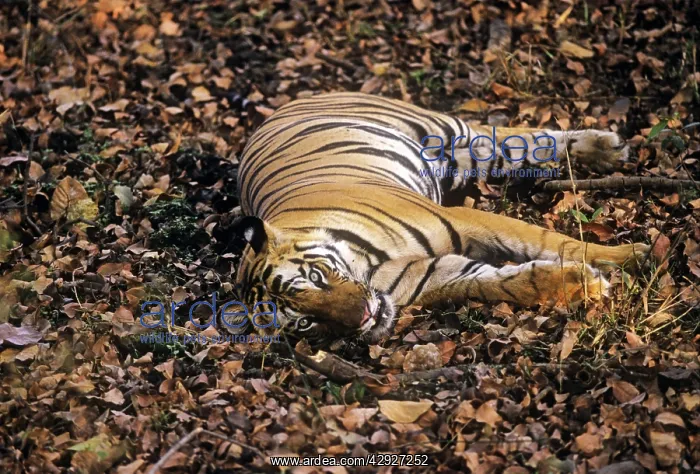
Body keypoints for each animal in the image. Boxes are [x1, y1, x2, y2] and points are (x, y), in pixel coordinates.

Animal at [233, 92, 650, 347]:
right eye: (304, 321)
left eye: (315, 277)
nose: (363, 316)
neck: (367, 268)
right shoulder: (435, 273)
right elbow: (504, 282)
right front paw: (580, 284)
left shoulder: (463, 217)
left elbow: (554, 242)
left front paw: (634, 256)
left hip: (443, 130)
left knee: (517, 135)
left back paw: (609, 147)